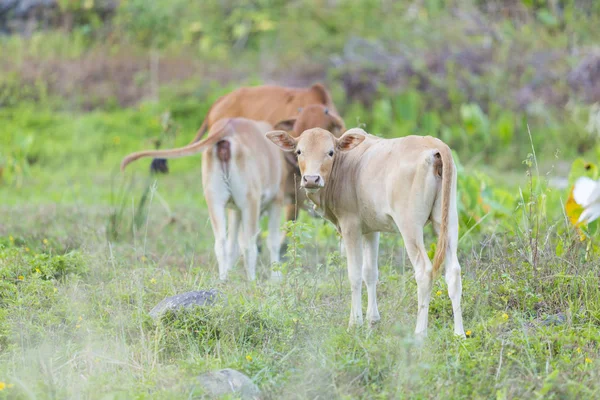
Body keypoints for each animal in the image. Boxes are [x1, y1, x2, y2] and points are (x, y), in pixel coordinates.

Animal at [264, 126, 466, 338]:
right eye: (299, 151)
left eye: (330, 152)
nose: (311, 179)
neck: (344, 166)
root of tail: (434, 146)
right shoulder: (371, 229)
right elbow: (370, 272)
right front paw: (372, 321)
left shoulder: (350, 225)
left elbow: (354, 274)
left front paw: (355, 323)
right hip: (448, 221)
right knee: (453, 272)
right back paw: (459, 334)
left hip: (410, 225)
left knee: (424, 271)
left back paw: (419, 334)